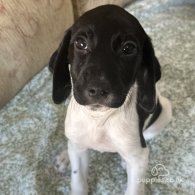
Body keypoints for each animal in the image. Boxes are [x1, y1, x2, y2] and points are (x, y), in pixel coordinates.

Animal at [49, 4, 172, 195]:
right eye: (80, 43)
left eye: (128, 49)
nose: (98, 89)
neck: (99, 119)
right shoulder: (79, 153)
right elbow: (78, 181)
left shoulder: (138, 158)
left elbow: (134, 186)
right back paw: (65, 157)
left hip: (164, 112)